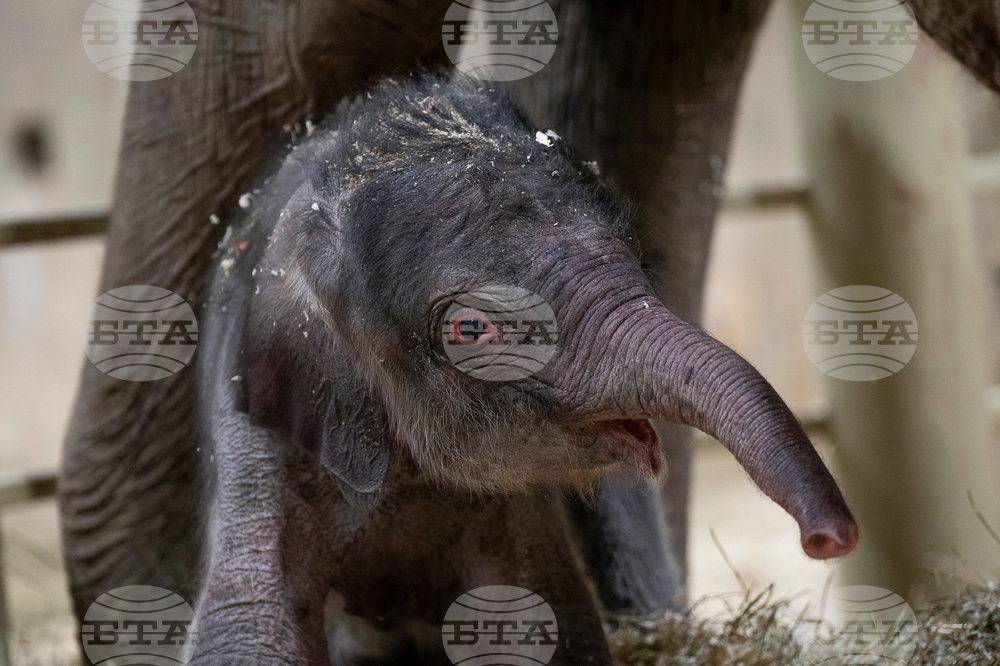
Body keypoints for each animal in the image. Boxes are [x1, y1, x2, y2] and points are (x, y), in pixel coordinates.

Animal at [58, 0, 1000, 662]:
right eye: (473, 329)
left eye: (636, 256)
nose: (828, 539)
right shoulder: (261, 430)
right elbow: (248, 630)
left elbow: (540, 623)